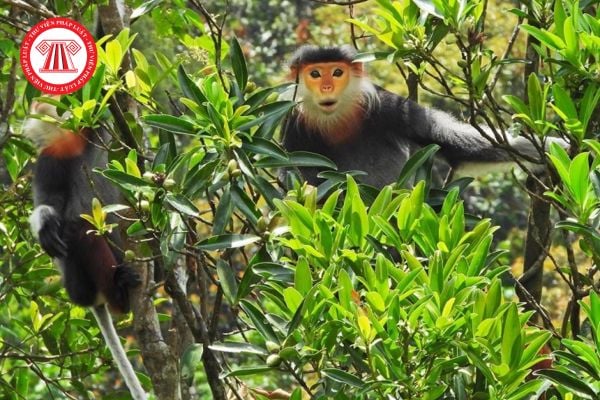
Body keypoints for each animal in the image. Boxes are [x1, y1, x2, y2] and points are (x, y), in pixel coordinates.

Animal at [23, 101, 148, 400]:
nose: (35, 103)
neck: (70, 143)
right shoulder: (48, 161)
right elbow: (47, 203)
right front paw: (45, 223)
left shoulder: (93, 131)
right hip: (78, 282)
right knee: (79, 230)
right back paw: (118, 294)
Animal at [280, 44, 556, 188]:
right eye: (315, 74)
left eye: (337, 72)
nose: (327, 87)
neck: (336, 118)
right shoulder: (293, 125)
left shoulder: (390, 107)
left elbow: (451, 144)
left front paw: (558, 150)